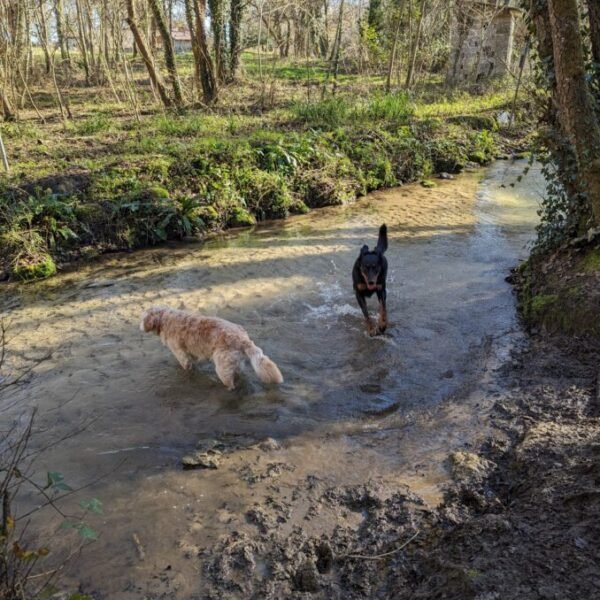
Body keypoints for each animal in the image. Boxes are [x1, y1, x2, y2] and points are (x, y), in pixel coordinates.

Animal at [141, 308, 284, 392]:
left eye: (142, 319)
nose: (139, 327)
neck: (164, 318)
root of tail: (243, 339)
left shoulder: (180, 353)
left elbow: (185, 364)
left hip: (222, 367)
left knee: (230, 383)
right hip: (236, 363)